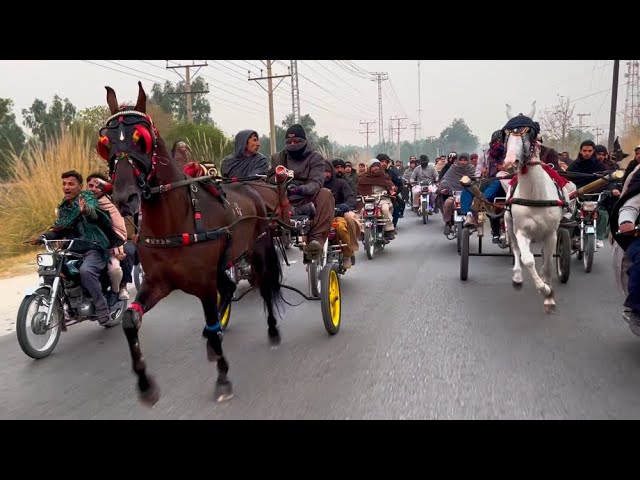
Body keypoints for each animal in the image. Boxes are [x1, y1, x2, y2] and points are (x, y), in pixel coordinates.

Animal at [97, 82, 282, 404]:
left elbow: (212, 316)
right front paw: (145, 383)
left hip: (257, 249)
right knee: (229, 287)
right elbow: (130, 321)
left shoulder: (204, 285)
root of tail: (252, 187)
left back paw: (271, 330)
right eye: (105, 143)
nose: (124, 197)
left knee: (264, 285)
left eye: (141, 139)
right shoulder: (157, 283)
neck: (176, 219)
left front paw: (222, 378)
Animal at [502, 101, 564, 314]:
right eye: (506, 134)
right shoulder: (521, 231)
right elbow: (527, 259)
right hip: (509, 222)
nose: (510, 162)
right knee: (516, 250)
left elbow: (547, 266)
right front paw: (545, 290)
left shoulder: (551, 234)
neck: (535, 196)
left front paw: (549, 297)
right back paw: (517, 277)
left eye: (529, 132)